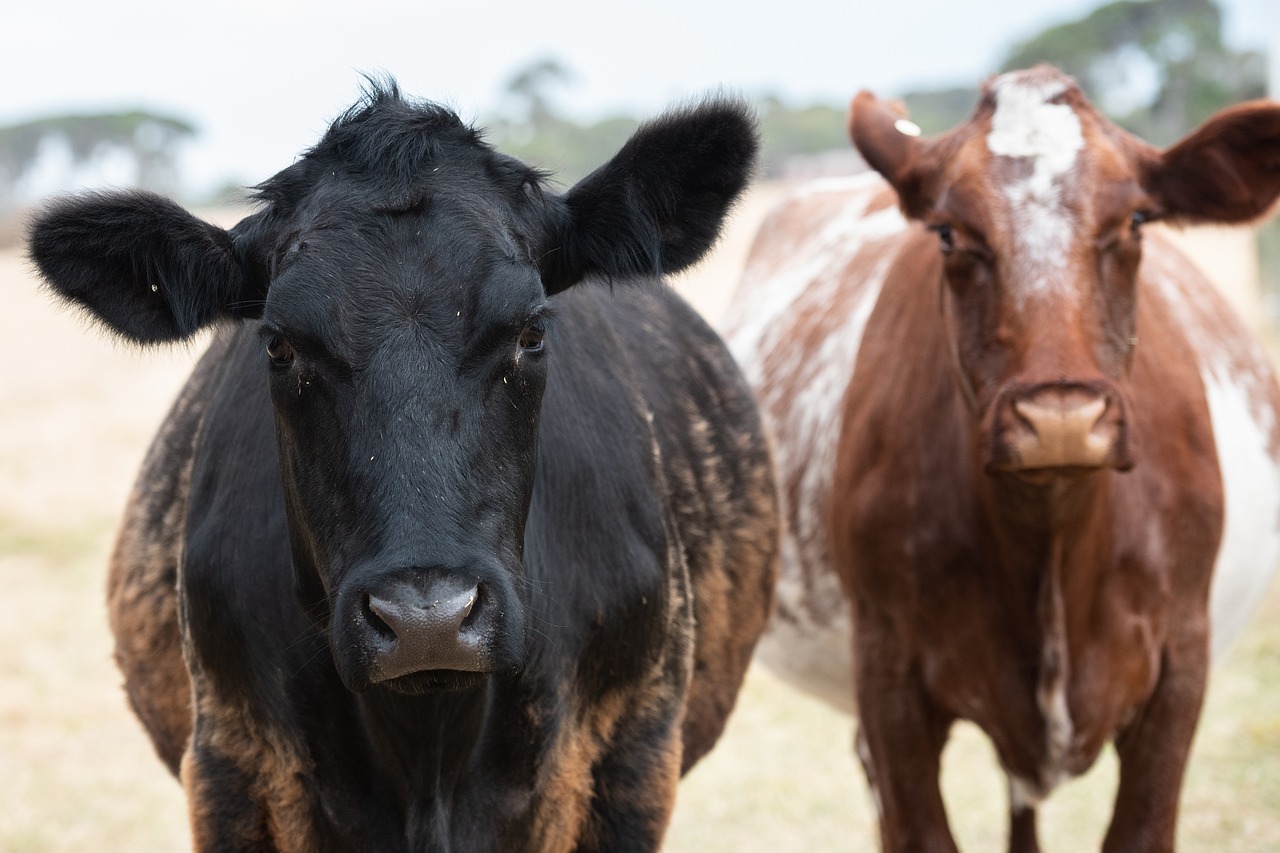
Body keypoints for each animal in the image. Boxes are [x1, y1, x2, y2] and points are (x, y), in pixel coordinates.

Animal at [727, 68, 1280, 850]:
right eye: (949, 232)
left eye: (1137, 221)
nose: (1059, 421)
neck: (1052, 544)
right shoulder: (888, 678)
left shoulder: (1180, 667)